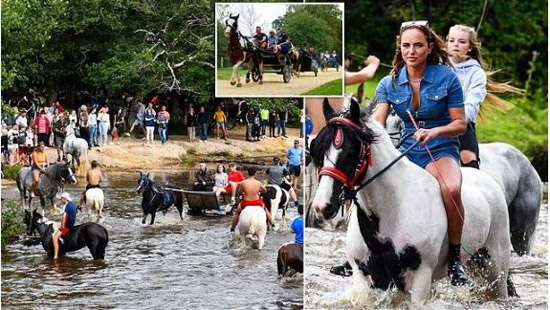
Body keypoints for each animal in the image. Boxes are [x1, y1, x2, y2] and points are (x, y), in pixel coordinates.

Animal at [308, 98, 516, 302]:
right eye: (319, 153)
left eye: (351, 152)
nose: (322, 206)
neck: (391, 210)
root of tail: (489, 180)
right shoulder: (364, 275)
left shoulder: (422, 276)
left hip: (496, 266)